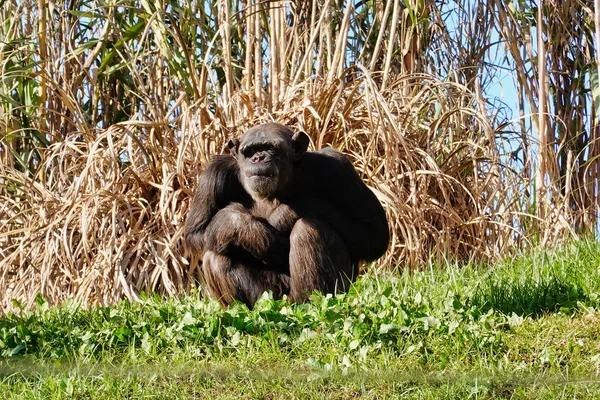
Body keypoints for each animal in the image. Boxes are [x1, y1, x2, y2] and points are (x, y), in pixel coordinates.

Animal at [184, 123, 390, 308]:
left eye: (271, 148)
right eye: (249, 151)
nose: (258, 158)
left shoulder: (338, 167)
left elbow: (373, 233)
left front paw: (288, 211)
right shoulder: (214, 175)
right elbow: (196, 232)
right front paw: (246, 228)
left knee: (308, 230)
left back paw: (309, 304)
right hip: (267, 294)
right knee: (216, 255)